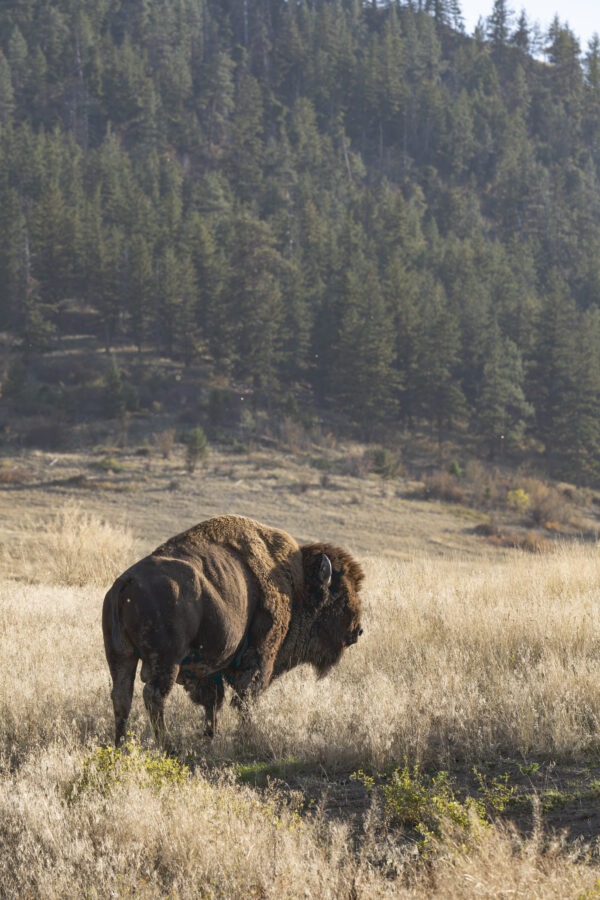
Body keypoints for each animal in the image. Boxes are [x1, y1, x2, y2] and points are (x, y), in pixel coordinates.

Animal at [102, 512, 364, 744]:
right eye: (340, 597)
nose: (357, 631)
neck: (297, 586)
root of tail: (125, 582)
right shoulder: (258, 658)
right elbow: (245, 699)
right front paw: (247, 735)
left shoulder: (210, 670)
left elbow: (212, 703)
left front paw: (210, 737)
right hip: (165, 662)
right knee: (154, 695)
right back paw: (167, 746)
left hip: (121, 656)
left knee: (122, 697)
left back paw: (120, 746)